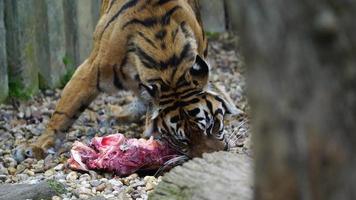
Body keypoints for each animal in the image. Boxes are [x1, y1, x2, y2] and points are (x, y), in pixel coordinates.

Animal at [13, 0, 238, 162]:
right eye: (181, 139)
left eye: (212, 126)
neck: (169, 68)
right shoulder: (90, 71)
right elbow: (64, 112)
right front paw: (36, 147)